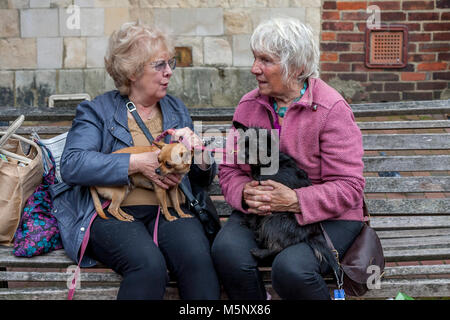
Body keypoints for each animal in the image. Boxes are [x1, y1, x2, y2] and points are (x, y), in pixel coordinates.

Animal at [236, 121, 338, 272]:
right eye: (243, 143)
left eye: (256, 146)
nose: (241, 155)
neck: (268, 162)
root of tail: (309, 235)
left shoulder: (263, 196)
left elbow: (255, 215)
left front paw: (249, 222)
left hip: (274, 218)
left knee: (278, 246)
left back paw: (260, 250)